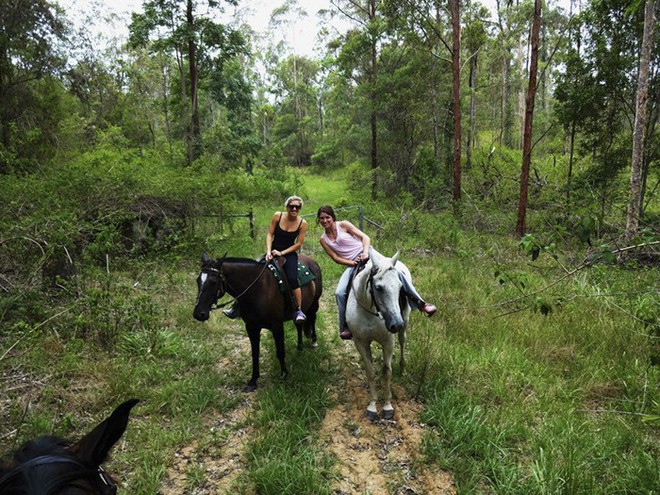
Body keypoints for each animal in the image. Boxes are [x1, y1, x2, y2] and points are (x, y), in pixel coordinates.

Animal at [193, 254, 322, 394]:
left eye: (213, 282)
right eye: (198, 281)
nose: (199, 313)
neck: (258, 290)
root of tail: (311, 260)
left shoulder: (277, 326)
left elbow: (280, 351)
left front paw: (284, 374)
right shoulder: (251, 327)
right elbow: (255, 354)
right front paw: (253, 381)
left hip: (314, 304)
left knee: (312, 319)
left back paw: (314, 341)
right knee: (299, 325)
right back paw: (300, 346)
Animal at [348, 250, 410, 420]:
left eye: (400, 287)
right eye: (379, 287)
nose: (396, 324)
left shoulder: (388, 342)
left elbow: (386, 372)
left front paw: (388, 406)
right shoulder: (361, 343)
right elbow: (370, 372)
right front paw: (372, 405)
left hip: (405, 321)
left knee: (403, 341)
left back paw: (402, 368)